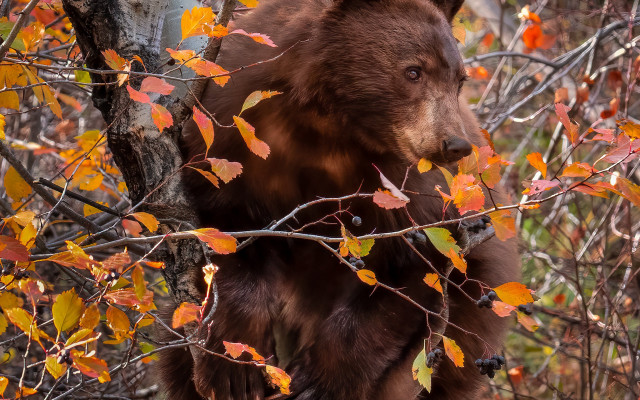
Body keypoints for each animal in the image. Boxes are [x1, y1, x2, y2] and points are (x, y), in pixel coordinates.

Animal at [158, 0, 520, 399]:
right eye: (413, 71)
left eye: (459, 80)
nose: (455, 145)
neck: (327, 127)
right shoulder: (233, 134)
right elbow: (227, 231)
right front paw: (233, 368)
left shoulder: (408, 190)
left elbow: (406, 270)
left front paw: (317, 383)